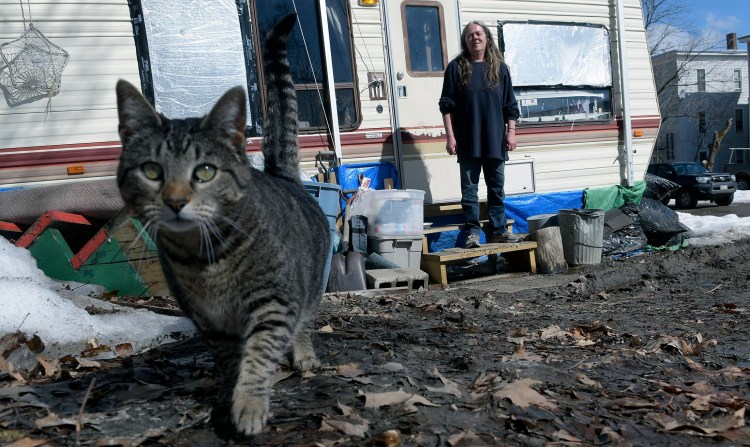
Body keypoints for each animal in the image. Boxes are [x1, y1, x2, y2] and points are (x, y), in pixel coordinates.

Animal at [115, 14, 332, 438]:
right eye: (152, 171)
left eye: (204, 171)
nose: (175, 201)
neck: (205, 257)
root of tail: (284, 177)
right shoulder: (210, 322)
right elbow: (230, 362)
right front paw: (228, 395)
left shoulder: (272, 302)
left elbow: (258, 356)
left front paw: (248, 405)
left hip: (309, 286)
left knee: (303, 323)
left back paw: (303, 354)